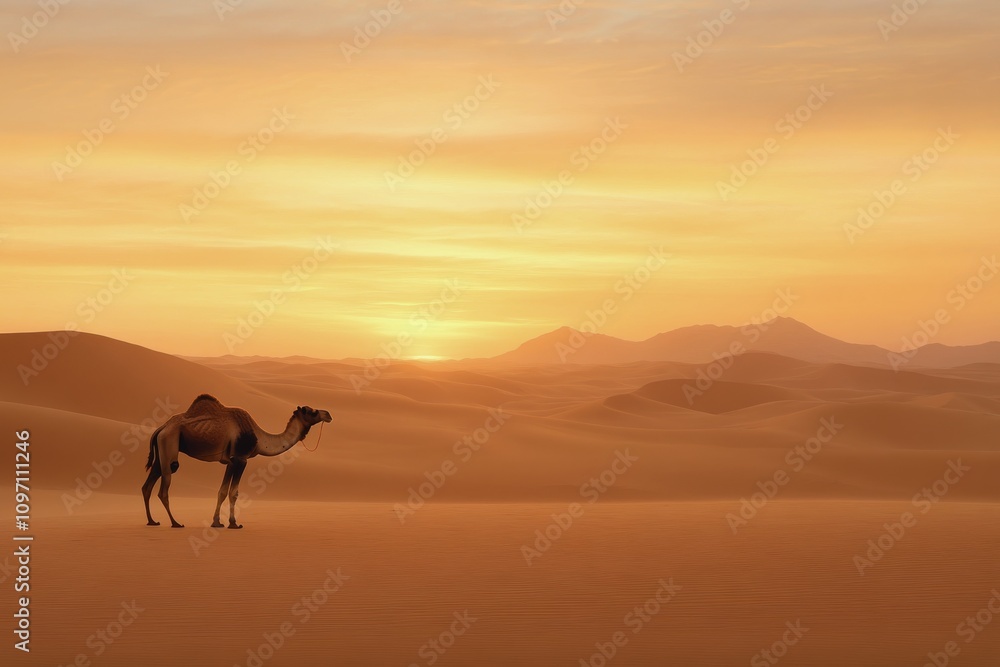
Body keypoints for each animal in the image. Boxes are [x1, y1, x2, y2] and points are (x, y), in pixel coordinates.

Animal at [141, 394, 332, 528]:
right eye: (312, 411)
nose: (328, 414)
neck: (260, 438)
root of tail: (161, 427)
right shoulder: (240, 459)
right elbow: (233, 492)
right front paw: (233, 523)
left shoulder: (231, 461)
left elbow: (222, 491)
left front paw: (217, 522)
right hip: (169, 443)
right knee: (164, 487)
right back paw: (175, 523)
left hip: (161, 450)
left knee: (147, 485)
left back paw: (152, 521)